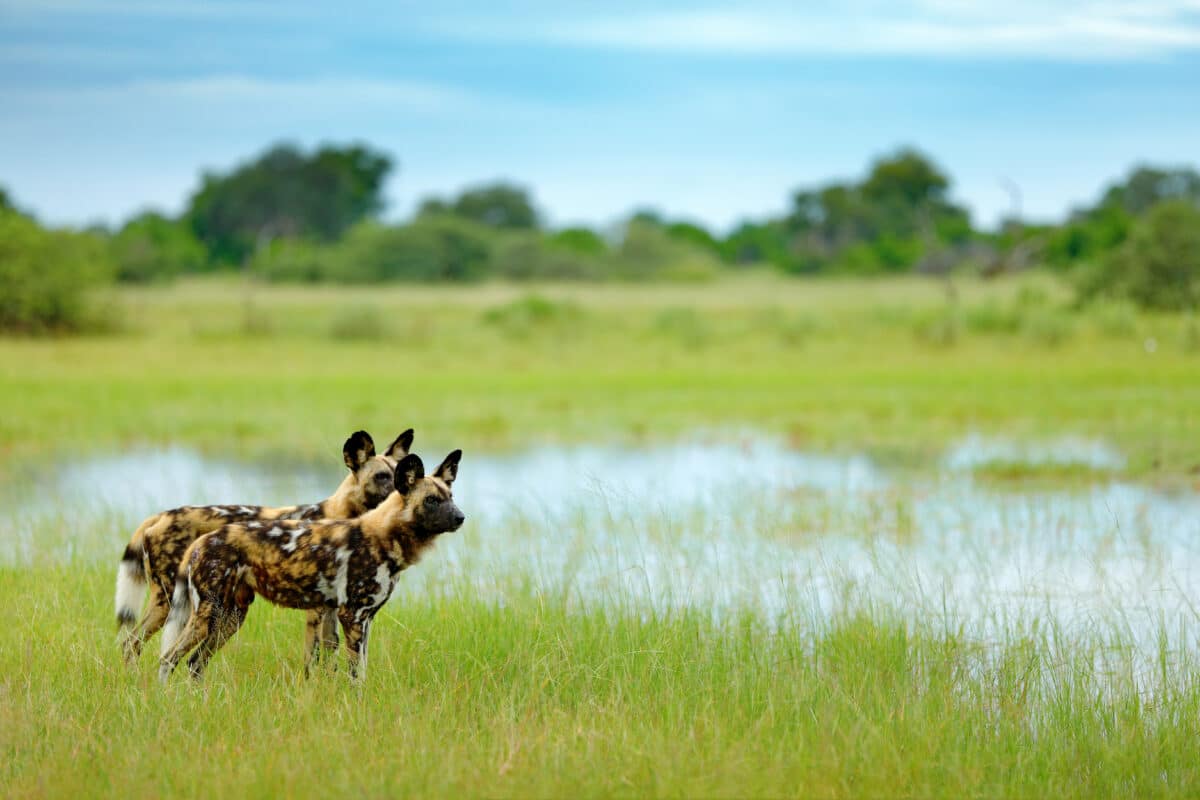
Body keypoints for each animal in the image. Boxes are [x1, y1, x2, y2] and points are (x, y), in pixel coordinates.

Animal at [114, 429, 412, 666]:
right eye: (382, 477)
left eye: (401, 474)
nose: (401, 493)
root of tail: (161, 516)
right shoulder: (317, 611)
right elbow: (313, 660)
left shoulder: (331, 610)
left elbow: (331, 657)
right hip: (171, 602)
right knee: (132, 643)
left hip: (229, 613)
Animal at [163, 450, 468, 681]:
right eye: (431, 500)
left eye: (451, 498)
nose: (461, 517)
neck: (383, 537)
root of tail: (202, 540)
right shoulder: (352, 616)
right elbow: (355, 675)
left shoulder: (366, 619)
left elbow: (362, 669)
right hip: (207, 614)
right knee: (168, 658)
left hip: (231, 617)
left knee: (194, 664)